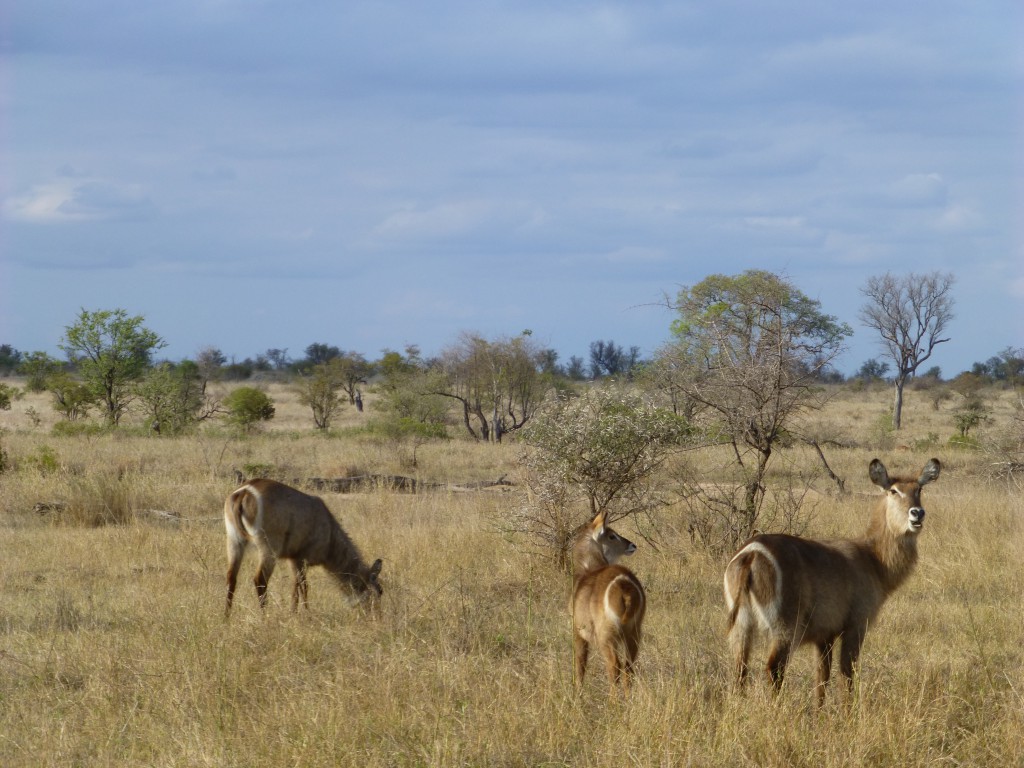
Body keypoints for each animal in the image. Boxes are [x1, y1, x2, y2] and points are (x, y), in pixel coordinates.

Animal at [224, 481, 385, 618]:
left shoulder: (293, 560)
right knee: (260, 579)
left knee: (231, 577)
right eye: (380, 591)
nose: (378, 617)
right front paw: (305, 612)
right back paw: (265, 617)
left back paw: (227, 617)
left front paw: (294, 612)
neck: (330, 534)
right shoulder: (302, 558)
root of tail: (245, 491)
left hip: (234, 541)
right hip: (268, 548)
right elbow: (304, 586)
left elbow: (295, 587)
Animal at [569, 512, 647, 696]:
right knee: (628, 667)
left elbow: (580, 665)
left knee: (615, 666)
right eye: (612, 535)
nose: (632, 545)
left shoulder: (577, 631)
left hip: (607, 636)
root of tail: (624, 584)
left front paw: (577, 695)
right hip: (633, 632)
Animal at [724, 460, 937, 708]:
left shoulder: (824, 635)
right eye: (893, 491)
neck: (872, 558)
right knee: (774, 669)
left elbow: (821, 678)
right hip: (785, 627)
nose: (917, 513)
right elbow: (847, 673)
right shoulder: (855, 626)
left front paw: (820, 712)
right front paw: (848, 712)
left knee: (740, 669)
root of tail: (751, 554)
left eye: (918, 489)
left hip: (741, 625)